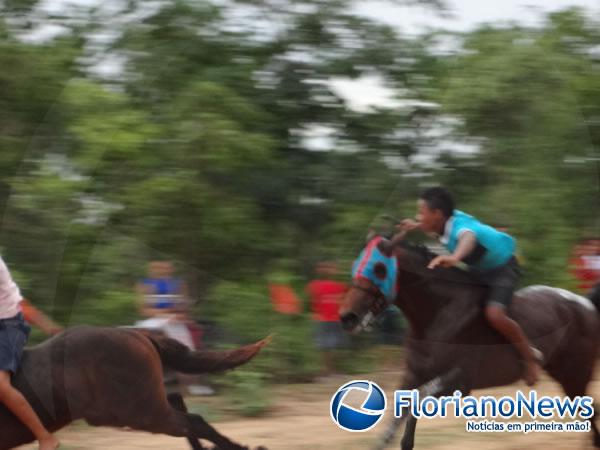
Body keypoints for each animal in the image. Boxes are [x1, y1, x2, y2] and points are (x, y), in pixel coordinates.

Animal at [340, 237, 596, 448]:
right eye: (357, 264)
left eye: (379, 269)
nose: (346, 317)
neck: (437, 314)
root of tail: (585, 304)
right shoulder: (413, 374)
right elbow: (400, 427)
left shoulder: (460, 381)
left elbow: (419, 398)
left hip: (575, 374)